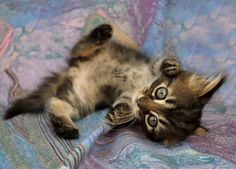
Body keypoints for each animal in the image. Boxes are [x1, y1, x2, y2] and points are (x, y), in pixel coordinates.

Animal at [4, 23, 225, 145]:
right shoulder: (149, 66)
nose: (142, 102)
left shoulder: (128, 96)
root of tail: (73, 70)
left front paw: (121, 113)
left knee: (55, 103)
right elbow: (160, 63)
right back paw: (102, 33)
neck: (141, 86)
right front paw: (172, 65)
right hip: (95, 53)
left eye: (152, 121)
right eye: (161, 93)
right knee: (80, 47)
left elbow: (127, 105)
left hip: (81, 98)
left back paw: (66, 128)